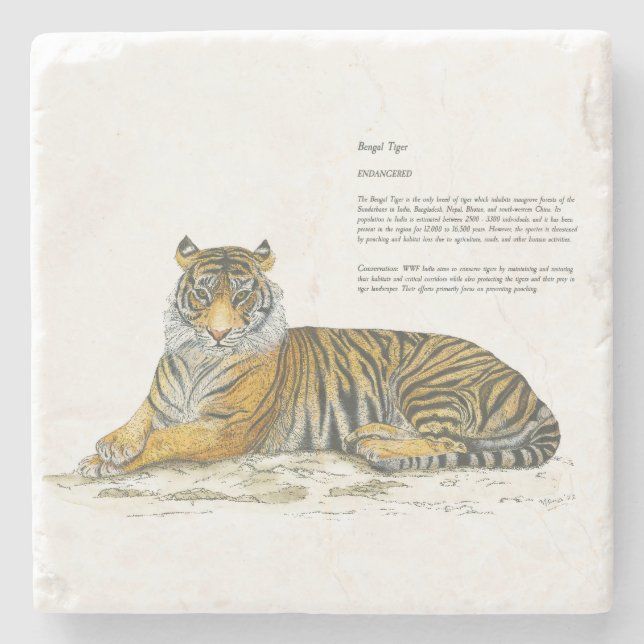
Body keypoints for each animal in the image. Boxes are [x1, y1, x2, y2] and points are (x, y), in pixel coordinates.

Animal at [78, 237, 560, 478]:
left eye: (241, 295)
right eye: (201, 293)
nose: (218, 333)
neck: (198, 358)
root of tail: (532, 390)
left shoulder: (228, 427)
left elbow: (168, 438)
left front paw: (108, 461)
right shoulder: (160, 402)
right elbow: (141, 417)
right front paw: (109, 447)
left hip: (425, 380)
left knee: (450, 441)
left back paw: (379, 450)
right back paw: (365, 435)